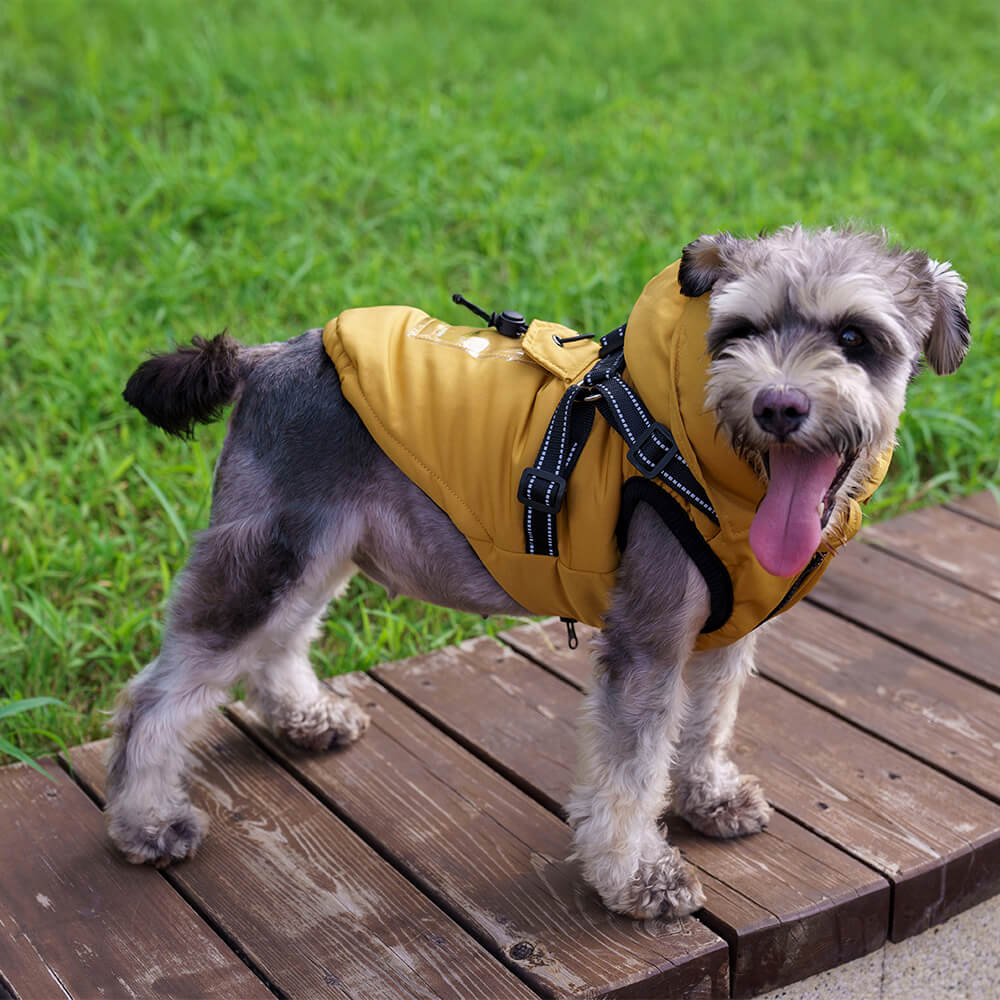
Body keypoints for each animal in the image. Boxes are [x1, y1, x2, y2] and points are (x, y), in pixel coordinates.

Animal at [107, 227, 968, 920]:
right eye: (741, 331)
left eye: (856, 336)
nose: (778, 406)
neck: (708, 458)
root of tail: (260, 361)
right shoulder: (649, 641)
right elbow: (630, 769)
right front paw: (636, 876)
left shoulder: (720, 636)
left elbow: (707, 722)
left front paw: (710, 798)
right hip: (269, 557)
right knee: (160, 693)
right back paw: (147, 821)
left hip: (312, 552)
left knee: (280, 643)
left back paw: (306, 719)